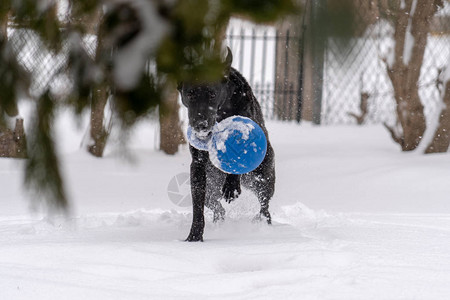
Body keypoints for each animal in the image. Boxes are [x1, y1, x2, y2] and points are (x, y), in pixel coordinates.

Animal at [178, 48, 274, 241]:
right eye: (190, 93)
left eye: (212, 94)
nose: (201, 124)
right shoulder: (198, 167)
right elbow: (197, 206)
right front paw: (194, 236)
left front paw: (231, 186)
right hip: (210, 188)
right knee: (217, 207)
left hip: (263, 178)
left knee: (264, 206)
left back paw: (263, 225)